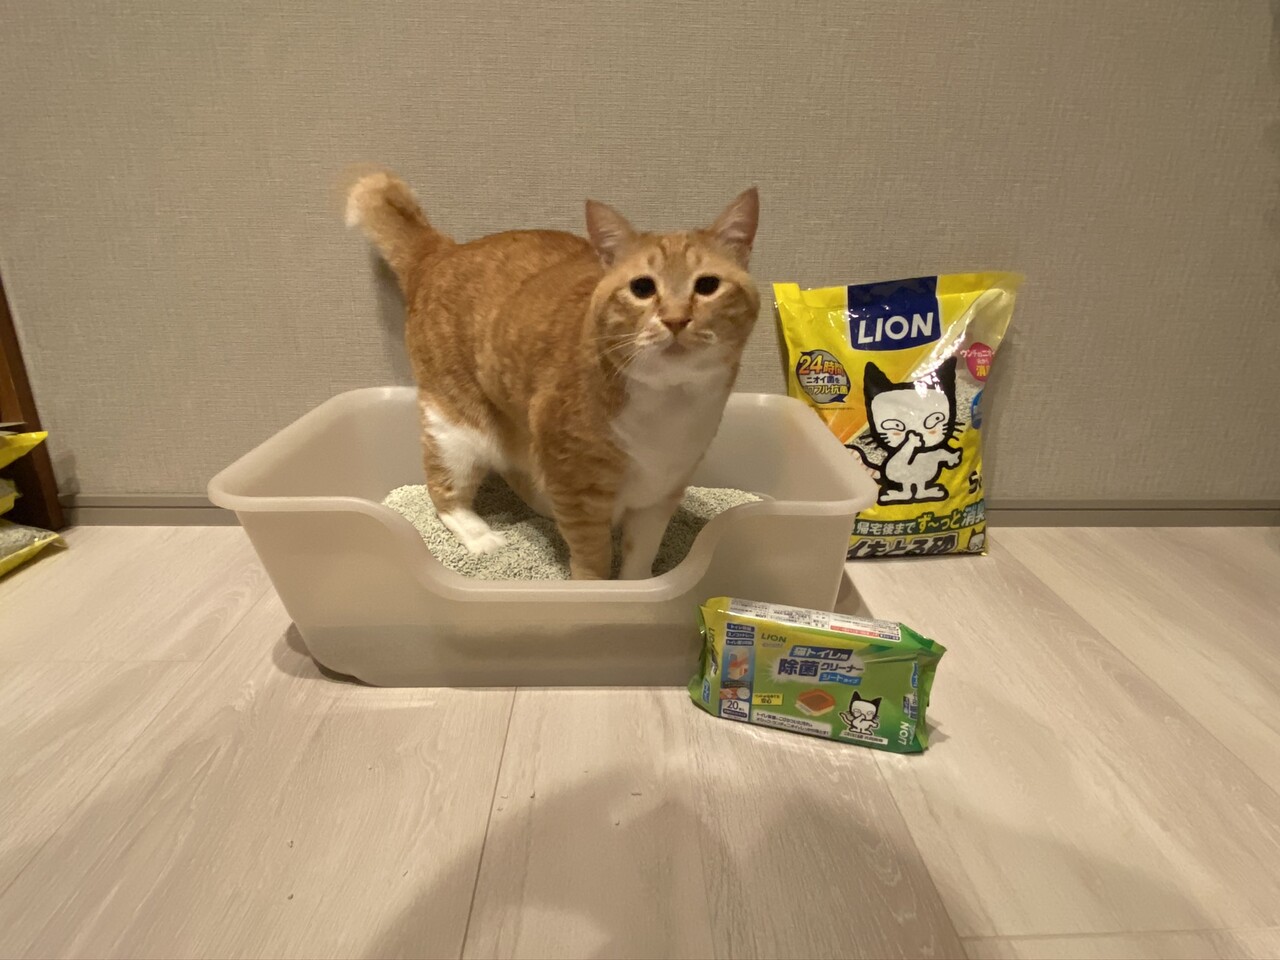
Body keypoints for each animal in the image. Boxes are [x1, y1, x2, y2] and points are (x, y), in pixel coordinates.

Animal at [346, 172, 759, 580]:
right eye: (642, 287)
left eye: (707, 285)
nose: (675, 319)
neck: (668, 405)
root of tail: (443, 250)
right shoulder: (577, 492)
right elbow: (593, 560)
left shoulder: (661, 493)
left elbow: (640, 558)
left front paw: (639, 586)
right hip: (456, 431)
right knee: (444, 492)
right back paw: (482, 536)